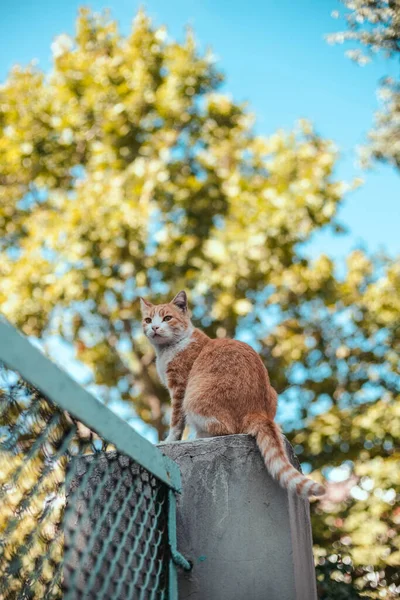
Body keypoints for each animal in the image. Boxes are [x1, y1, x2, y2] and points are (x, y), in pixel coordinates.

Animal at [140, 290, 324, 496]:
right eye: (148, 320)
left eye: (167, 318)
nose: (154, 327)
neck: (170, 348)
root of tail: (257, 410)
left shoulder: (179, 388)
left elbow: (176, 421)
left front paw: (170, 441)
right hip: (272, 393)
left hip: (193, 397)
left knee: (224, 429)